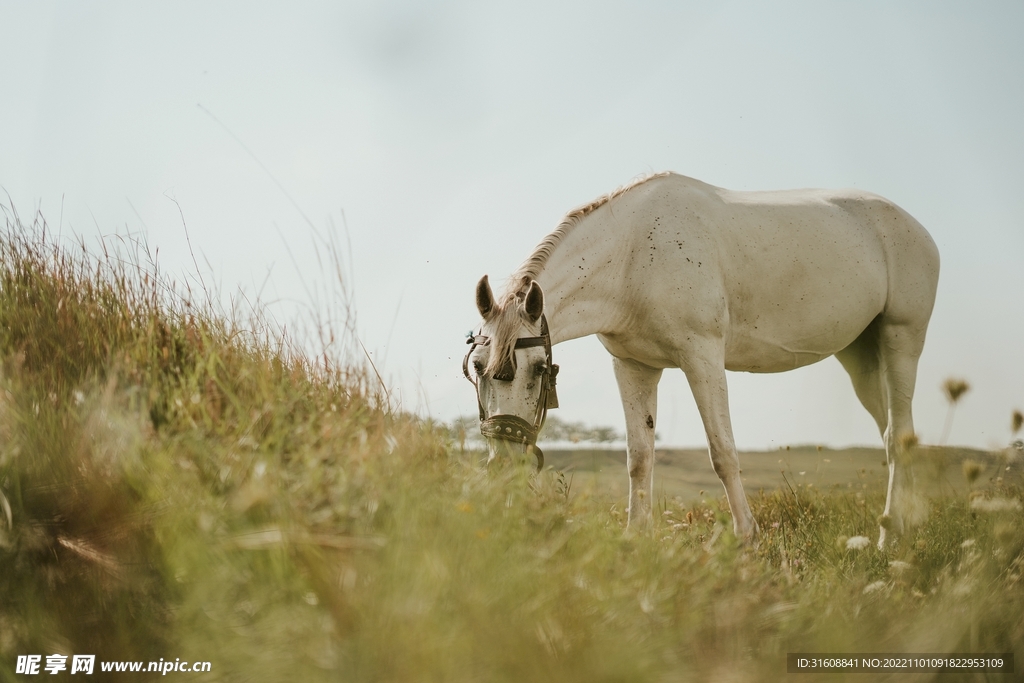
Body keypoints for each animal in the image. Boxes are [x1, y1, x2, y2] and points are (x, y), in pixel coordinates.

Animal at [468, 174, 937, 548]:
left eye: (538, 370)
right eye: (476, 369)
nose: (504, 463)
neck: (634, 256)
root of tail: (918, 230)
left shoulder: (703, 357)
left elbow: (722, 452)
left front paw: (747, 537)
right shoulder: (633, 366)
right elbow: (639, 457)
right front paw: (636, 538)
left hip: (901, 339)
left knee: (896, 436)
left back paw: (889, 537)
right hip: (860, 357)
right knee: (899, 434)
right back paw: (906, 531)